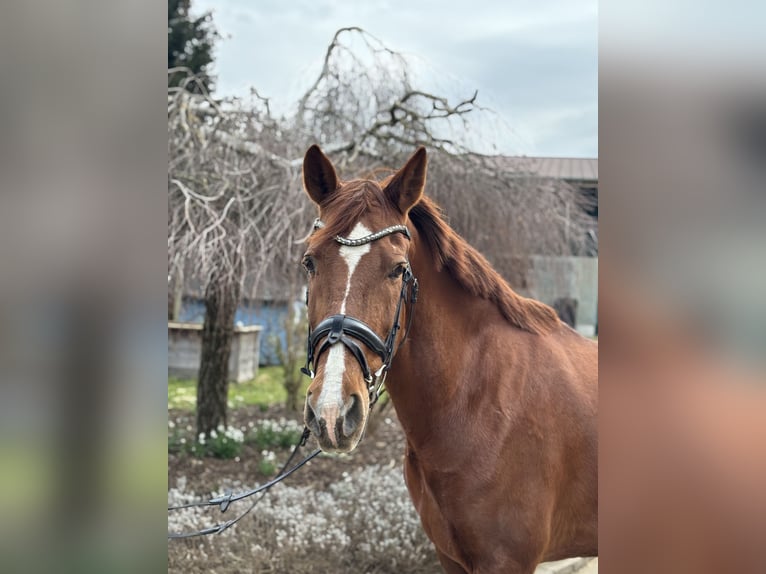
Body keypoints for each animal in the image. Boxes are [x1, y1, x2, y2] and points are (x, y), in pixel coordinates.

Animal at [300, 146, 600, 572]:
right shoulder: (450, 557)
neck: (477, 399)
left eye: (398, 269)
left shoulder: (506, 561)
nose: (331, 411)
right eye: (310, 262)